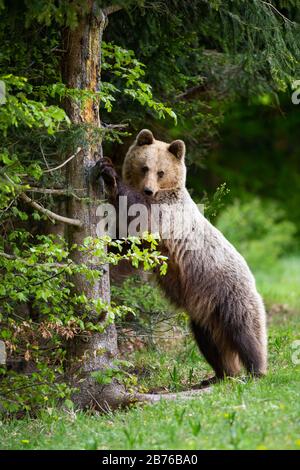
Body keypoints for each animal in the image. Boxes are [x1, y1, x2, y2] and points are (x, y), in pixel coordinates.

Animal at [98, 129, 268, 382]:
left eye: (161, 171)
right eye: (144, 167)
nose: (149, 189)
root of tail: (251, 276)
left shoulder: (166, 214)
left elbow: (140, 211)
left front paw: (109, 172)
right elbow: (125, 247)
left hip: (230, 293)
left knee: (246, 332)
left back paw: (256, 371)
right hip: (205, 311)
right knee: (210, 343)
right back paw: (221, 374)